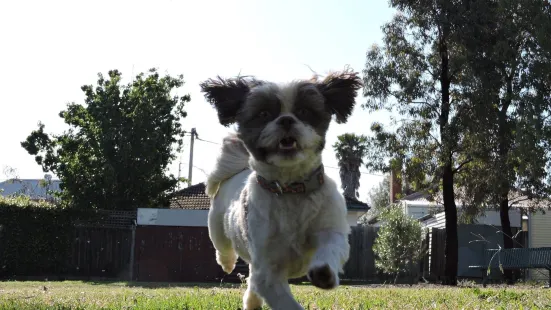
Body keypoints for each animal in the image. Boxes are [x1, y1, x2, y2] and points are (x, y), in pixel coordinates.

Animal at [201, 68, 364, 310]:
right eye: (264, 113)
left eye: (304, 111)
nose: (286, 119)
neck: (290, 189)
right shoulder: (269, 271)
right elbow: (284, 300)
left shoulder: (331, 230)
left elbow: (331, 247)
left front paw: (323, 272)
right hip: (217, 226)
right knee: (223, 248)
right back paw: (227, 263)